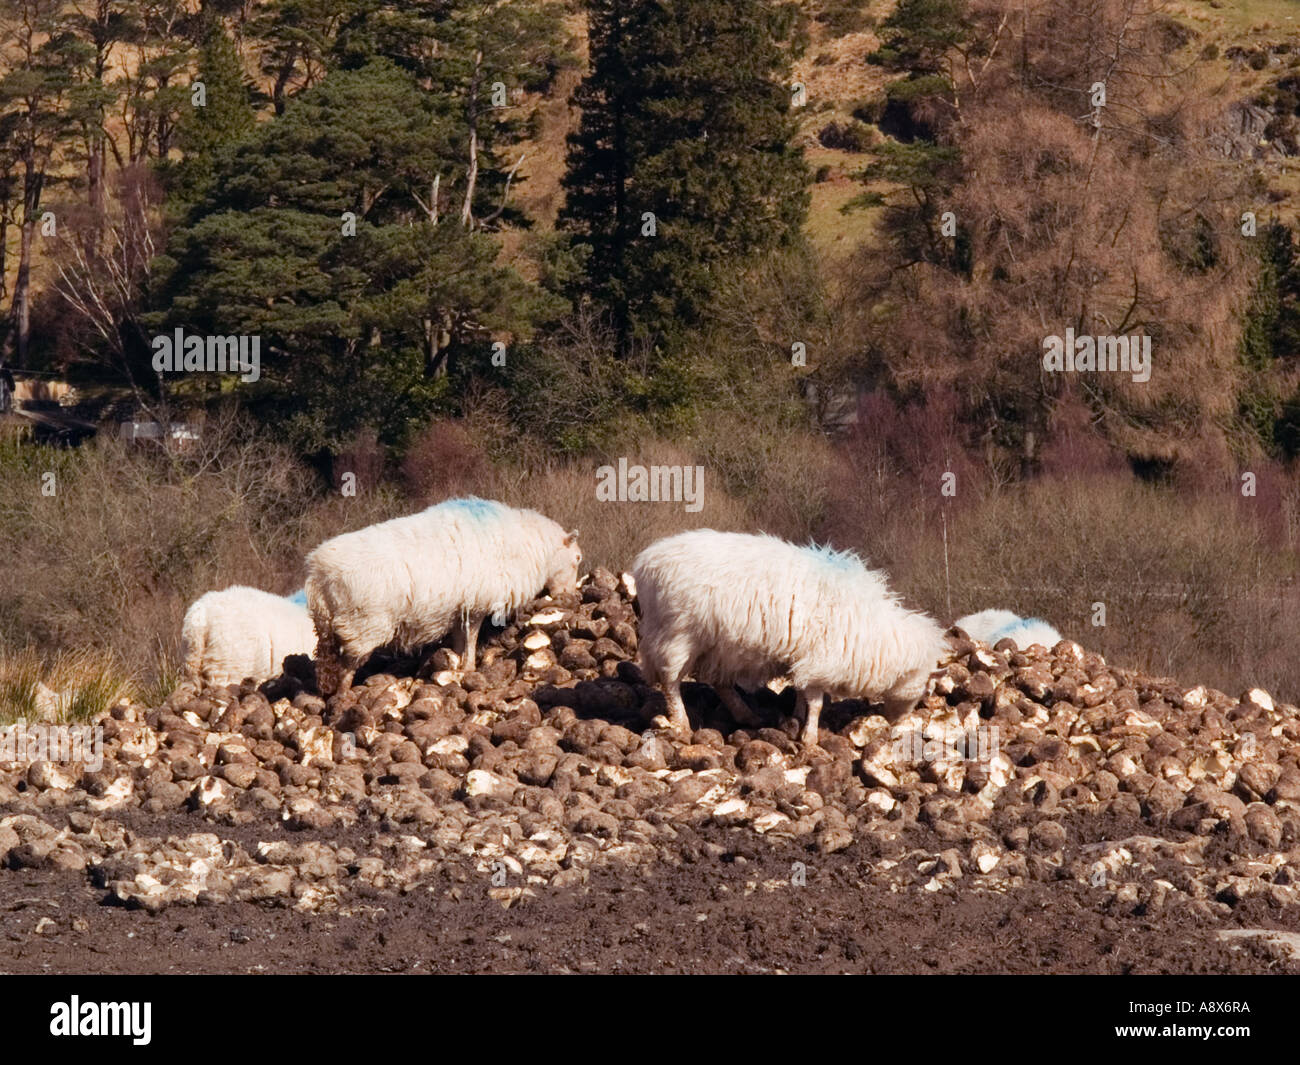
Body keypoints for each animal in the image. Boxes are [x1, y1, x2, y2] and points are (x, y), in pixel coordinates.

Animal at [306, 497, 582, 694]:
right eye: (577, 559)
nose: (570, 595)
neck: (531, 547)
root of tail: (319, 573)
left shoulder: (459, 609)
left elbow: (460, 640)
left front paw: (457, 665)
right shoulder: (477, 603)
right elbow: (471, 638)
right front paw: (469, 668)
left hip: (329, 627)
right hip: (363, 625)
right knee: (346, 666)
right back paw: (343, 694)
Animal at [632, 530, 948, 744]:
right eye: (924, 687)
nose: (898, 722)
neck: (877, 636)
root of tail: (646, 562)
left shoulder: (806, 660)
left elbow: (801, 693)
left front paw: (796, 717)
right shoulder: (821, 660)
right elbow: (816, 702)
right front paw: (809, 738)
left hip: (719, 647)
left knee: (719, 682)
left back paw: (748, 716)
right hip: (678, 633)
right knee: (671, 681)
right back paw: (681, 722)